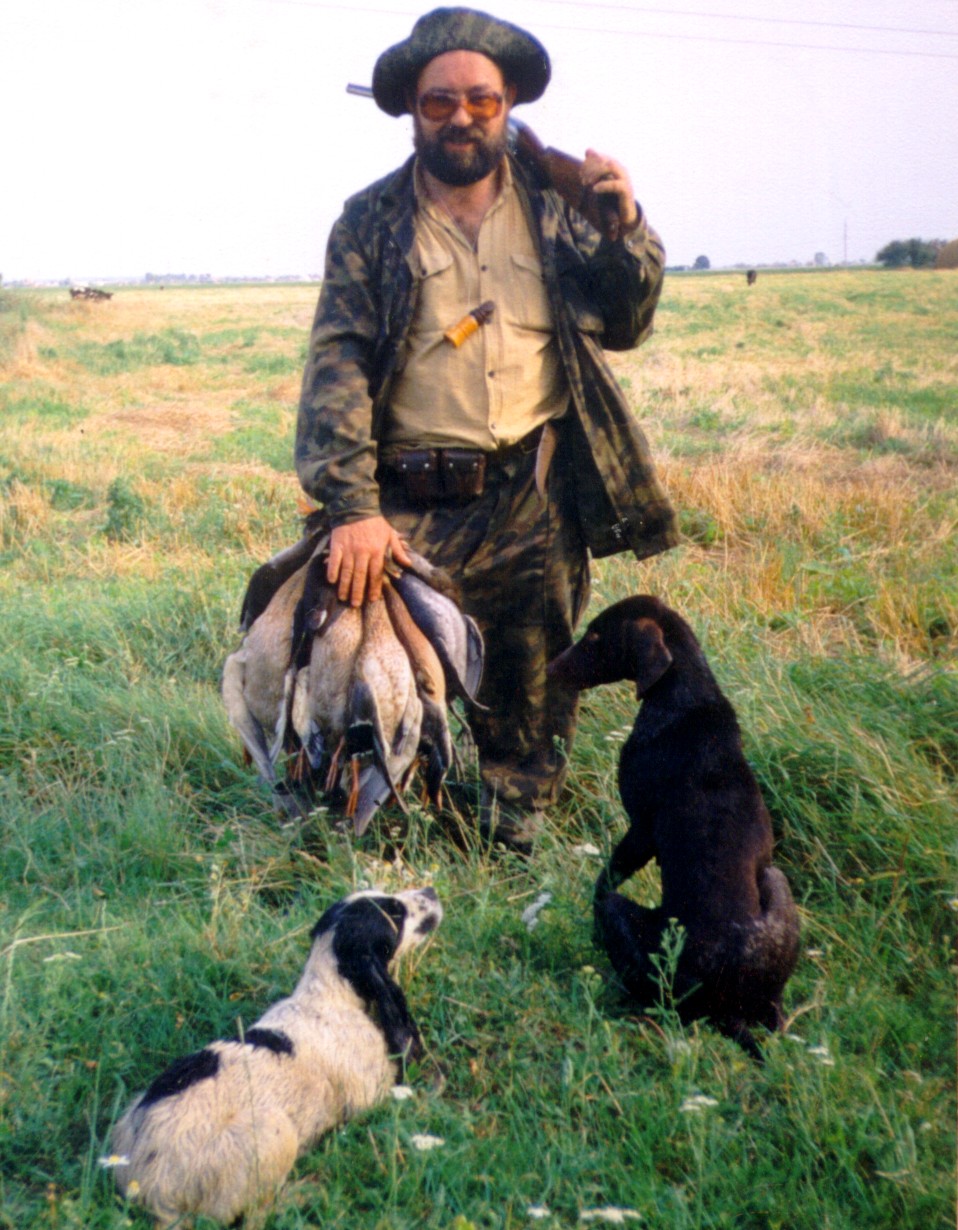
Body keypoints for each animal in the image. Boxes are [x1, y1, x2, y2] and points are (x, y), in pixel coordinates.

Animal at [546, 595, 801, 1057]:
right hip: (777, 882)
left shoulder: (641, 830)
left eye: (596, 635)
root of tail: (731, 1009)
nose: (552, 668)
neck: (687, 697)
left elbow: (603, 879)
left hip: (626, 920)